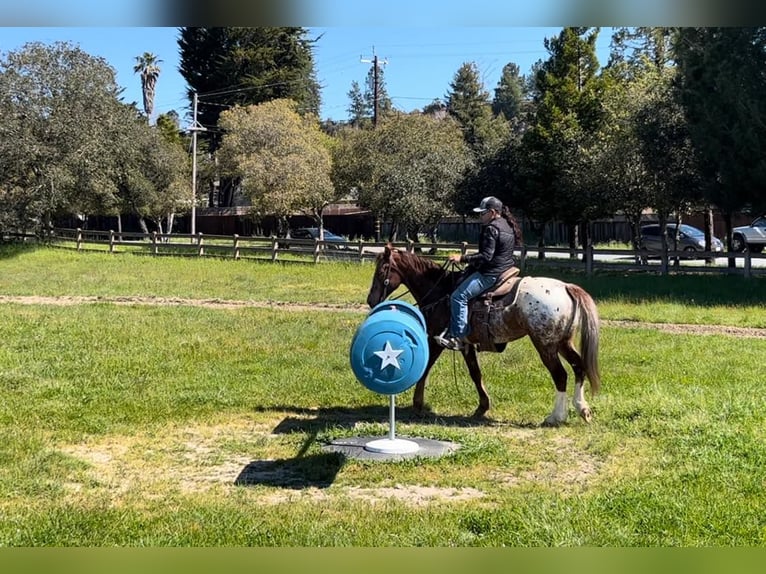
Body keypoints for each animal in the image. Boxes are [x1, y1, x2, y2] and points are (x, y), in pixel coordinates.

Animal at [364, 243, 604, 428]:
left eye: (382, 271)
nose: (371, 300)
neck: (441, 290)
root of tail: (566, 287)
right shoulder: (467, 345)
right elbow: (475, 373)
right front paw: (482, 407)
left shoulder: (436, 340)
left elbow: (427, 368)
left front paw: (417, 404)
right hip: (563, 342)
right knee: (579, 367)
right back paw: (582, 409)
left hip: (545, 344)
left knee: (560, 375)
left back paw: (555, 417)